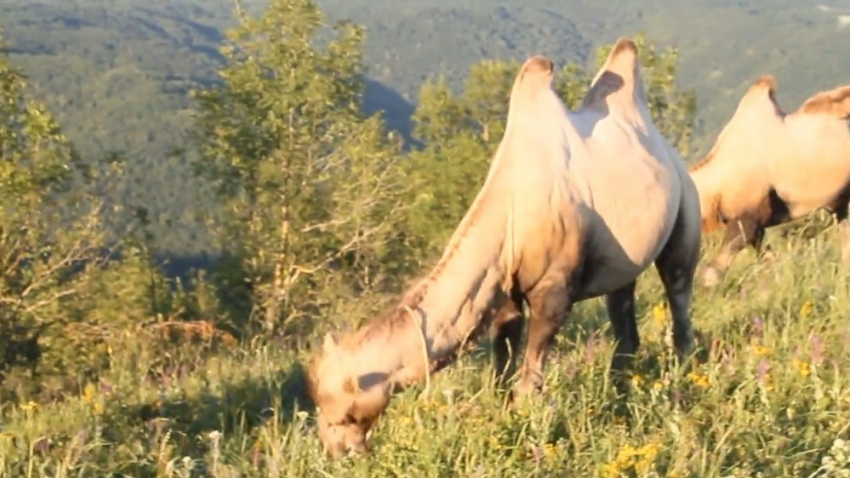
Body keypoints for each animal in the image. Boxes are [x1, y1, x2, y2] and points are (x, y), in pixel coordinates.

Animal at [302, 38, 700, 460]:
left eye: (345, 414)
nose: (337, 451)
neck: (511, 209)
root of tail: (668, 150)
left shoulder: (553, 291)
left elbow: (528, 380)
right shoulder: (504, 291)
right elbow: (501, 372)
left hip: (684, 210)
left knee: (679, 295)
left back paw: (684, 379)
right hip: (621, 261)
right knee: (624, 317)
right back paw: (621, 392)